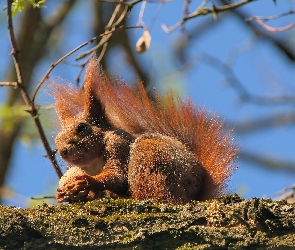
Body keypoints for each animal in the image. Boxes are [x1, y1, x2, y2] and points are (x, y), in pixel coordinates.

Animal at [51, 58, 238, 205]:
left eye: (82, 127)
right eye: (55, 140)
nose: (63, 151)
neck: (92, 161)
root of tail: (195, 192)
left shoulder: (117, 145)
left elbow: (118, 174)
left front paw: (88, 182)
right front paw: (63, 195)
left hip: (151, 156)